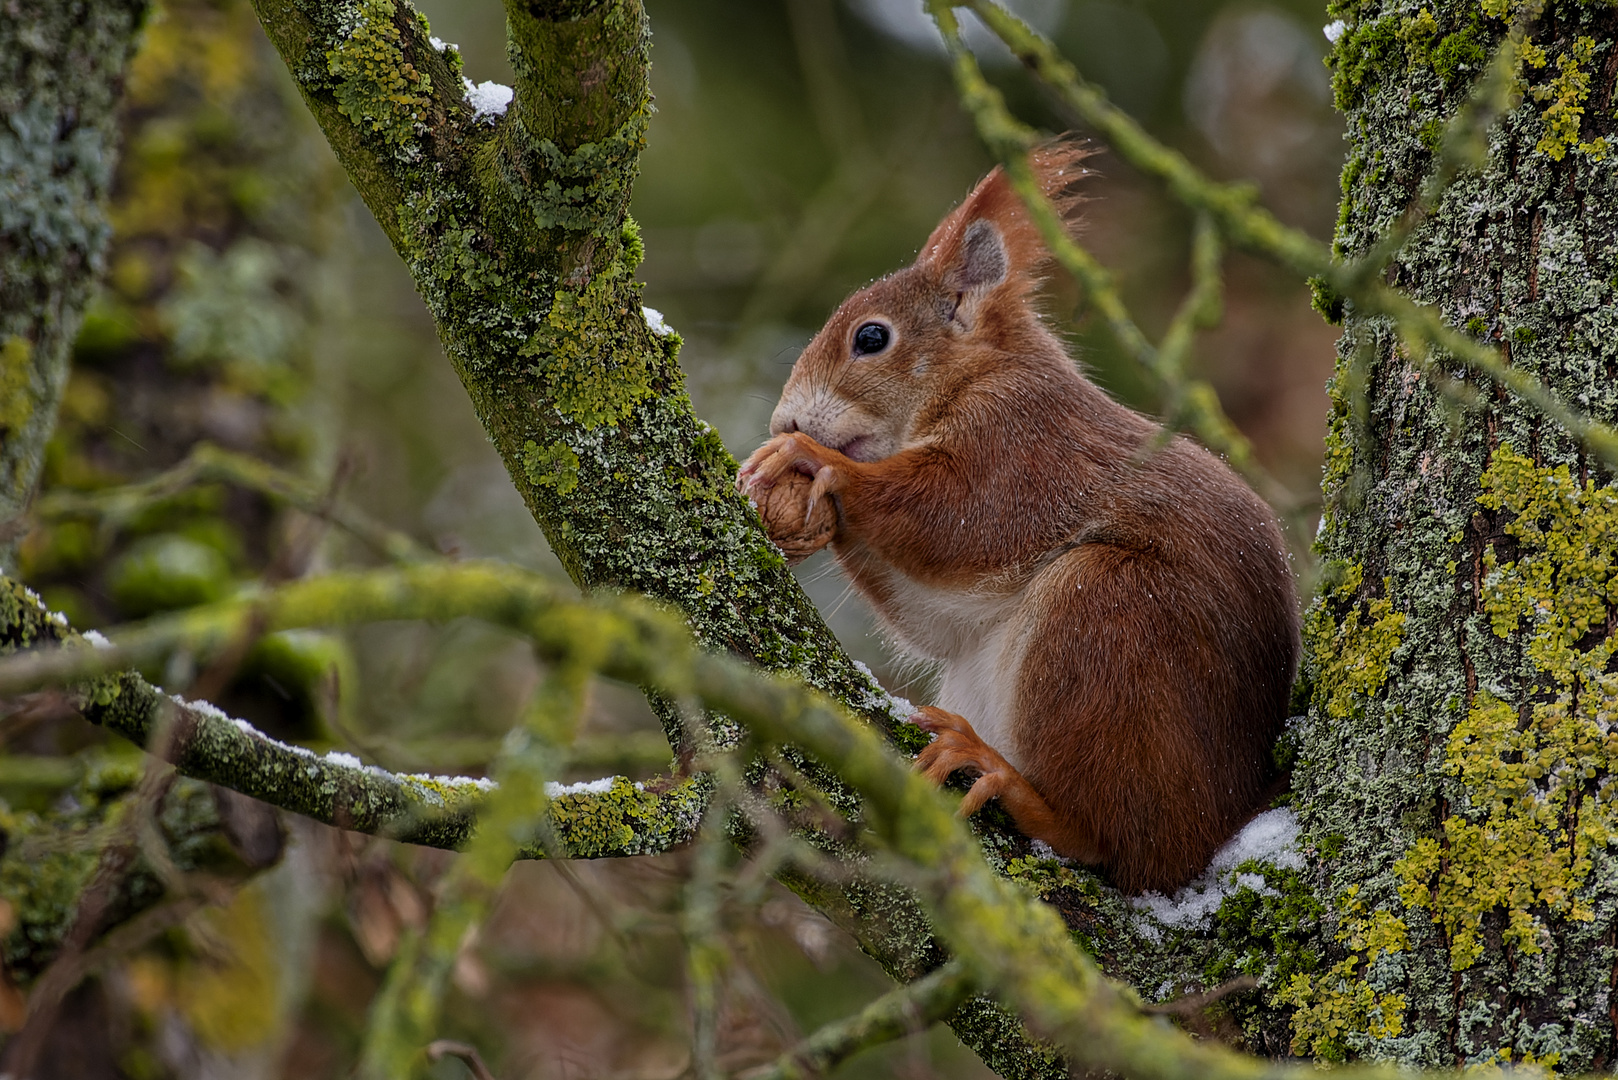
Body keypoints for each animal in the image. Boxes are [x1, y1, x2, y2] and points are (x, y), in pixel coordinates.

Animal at [741, 143, 1294, 893]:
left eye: (871, 338)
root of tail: (1216, 829)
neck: (977, 374)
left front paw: (807, 459)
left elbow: (958, 518)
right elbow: (936, 619)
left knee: (1120, 846)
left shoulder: (1021, 445)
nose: (785, 420)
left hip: (1109, 617)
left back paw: (1004, 779)